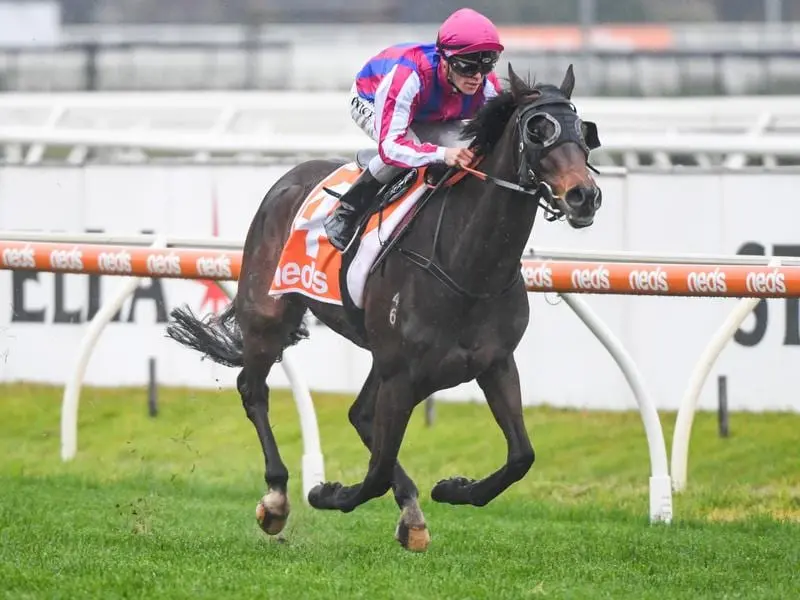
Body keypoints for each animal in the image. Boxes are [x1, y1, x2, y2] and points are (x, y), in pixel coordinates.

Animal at [170, 63, 608, 552]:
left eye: (583, 130)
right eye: (537, 130)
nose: (584, 196)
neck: (470, 268)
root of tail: (290, 176)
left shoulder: (494, 362)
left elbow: (521, 456)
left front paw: (453, 489)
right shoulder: (401, 372)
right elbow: (376, 471)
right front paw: (327, 493)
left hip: (379, 353)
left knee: (358, 414)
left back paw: (409, 512)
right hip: (269, 314)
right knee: (253, 389)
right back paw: (278, 497)